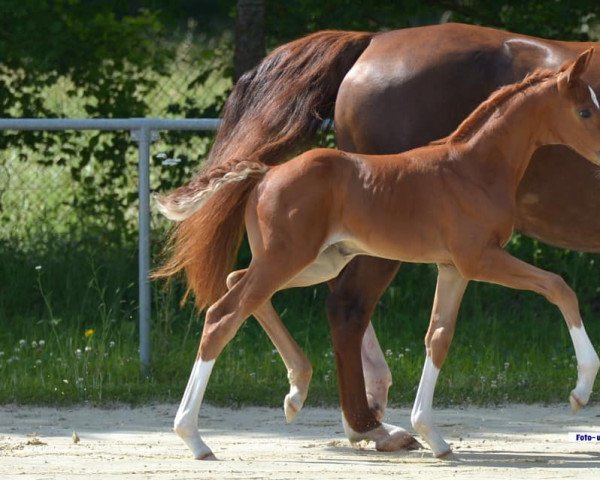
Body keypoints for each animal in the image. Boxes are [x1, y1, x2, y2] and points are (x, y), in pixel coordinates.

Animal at [158, 50, 600, 460]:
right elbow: (559, 287)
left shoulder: (453, 267)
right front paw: (580, 390)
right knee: (224, 315)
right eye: (584, 110)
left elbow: (438, 337)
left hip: (317, 261)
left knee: (240, 287)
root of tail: (265, 174)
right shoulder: (480, 258)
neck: (473, 169)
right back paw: (194, 437)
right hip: (288, 258)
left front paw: (432, 436)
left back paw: (297, 389)